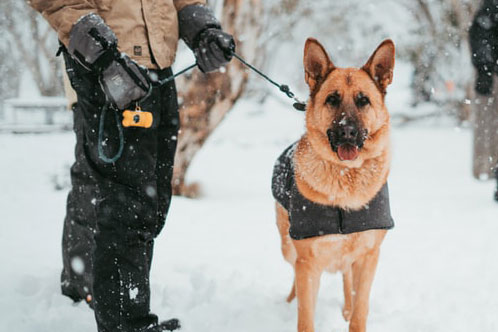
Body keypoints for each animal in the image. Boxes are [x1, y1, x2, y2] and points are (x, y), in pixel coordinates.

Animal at [272, 39, 392, 332]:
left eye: (363, 100)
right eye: (332, 100)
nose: (347, 131)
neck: (345, 177)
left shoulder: (368, 257)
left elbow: (360, 311)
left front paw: (352, 314)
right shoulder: (308, 263)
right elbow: (305, 317)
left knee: (346, 276)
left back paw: (345, 309)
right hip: (288, 247)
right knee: (294, 274)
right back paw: (288, 304)